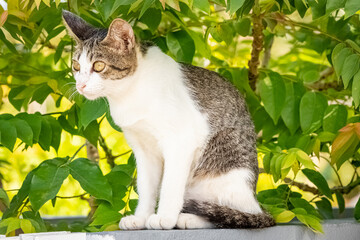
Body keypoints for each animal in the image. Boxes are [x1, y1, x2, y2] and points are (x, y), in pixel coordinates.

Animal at [62, 10, 276, 230]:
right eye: (76, 66)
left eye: (98, 66)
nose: (80, 85)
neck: (129, 93)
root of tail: (255, 201)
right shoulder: (143, 149)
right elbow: (146, 187)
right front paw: (141, 218)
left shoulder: (181, 141)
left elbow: (170, 185)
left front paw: (164, 217)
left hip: (224, 161)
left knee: (232, 215)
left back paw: (189, 218)